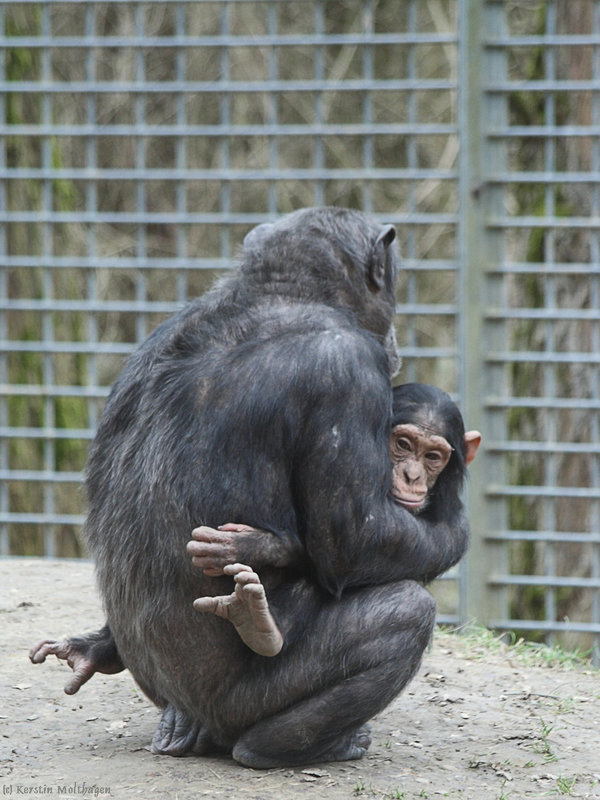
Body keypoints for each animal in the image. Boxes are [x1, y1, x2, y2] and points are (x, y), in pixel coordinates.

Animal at [190, 384, 480, 660]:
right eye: (404, 444)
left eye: (432, 457)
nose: (412, 476)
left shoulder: (454, 526)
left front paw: (256, 545)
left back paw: (263, 625)